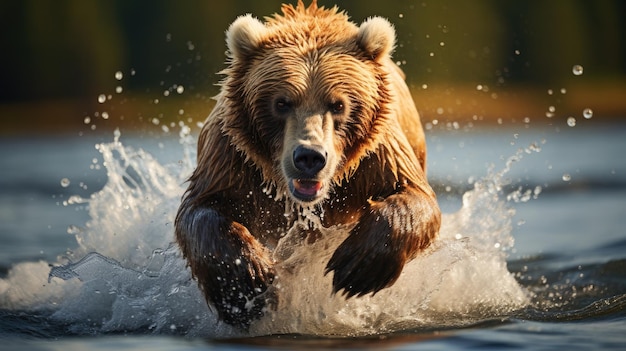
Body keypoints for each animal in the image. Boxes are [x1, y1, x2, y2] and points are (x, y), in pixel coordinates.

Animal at [174, 0, 438, 330]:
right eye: (281, 102)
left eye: (338, 104)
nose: (309, 157)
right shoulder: (232, 158)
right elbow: (201, 208)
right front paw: (247, 281)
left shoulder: (378, 158)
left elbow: (413, 196)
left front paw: (358, 266)